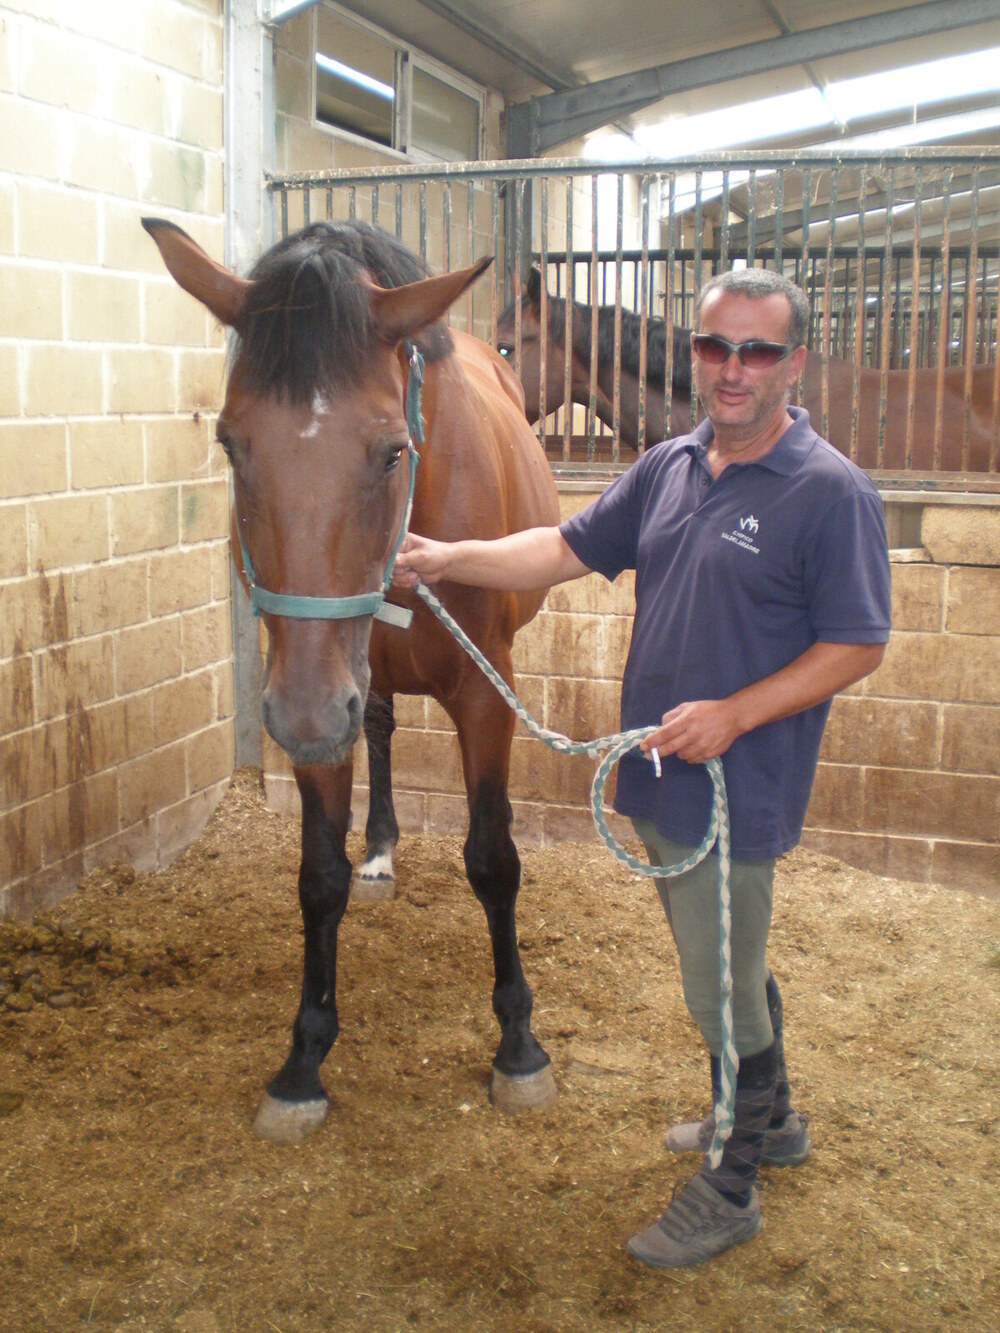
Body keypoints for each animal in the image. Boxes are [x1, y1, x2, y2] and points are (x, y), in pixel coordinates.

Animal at [142, 218, 565, 1146]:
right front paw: (303, 1060)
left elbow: (493, 858)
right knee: (376, 726)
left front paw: (519, 1044)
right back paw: (380, 849)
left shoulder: (485, 696)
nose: (303, 717)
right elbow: (317, 877)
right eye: (230, 442)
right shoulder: (311, 687)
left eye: (391, 449)